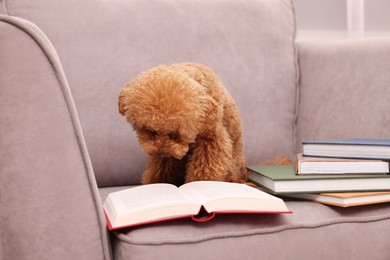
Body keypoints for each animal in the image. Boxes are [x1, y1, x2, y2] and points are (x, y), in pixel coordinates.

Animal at [118, 62, 247, 186]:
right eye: (151, 131)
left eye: (176, 135)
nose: (162, 153)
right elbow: (161, 168)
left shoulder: (212, 137)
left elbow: (205, 167)